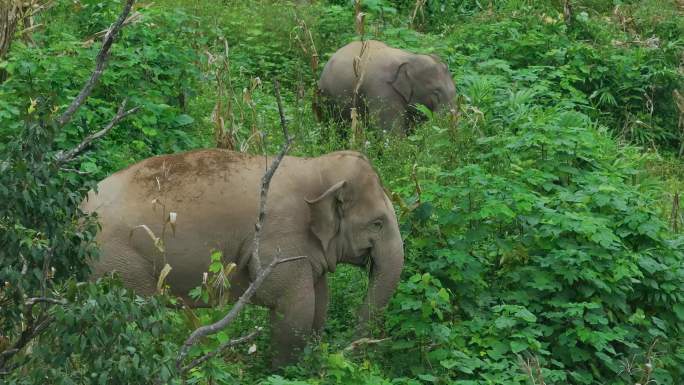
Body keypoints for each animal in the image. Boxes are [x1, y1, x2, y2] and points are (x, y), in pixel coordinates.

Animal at [84, 147, 406, 366]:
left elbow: (319, 304)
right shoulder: (279, 239)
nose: (347, 349)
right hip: (116, 264)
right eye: (377, 223)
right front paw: (286, 372)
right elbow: (295, 309)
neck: (315, 167)